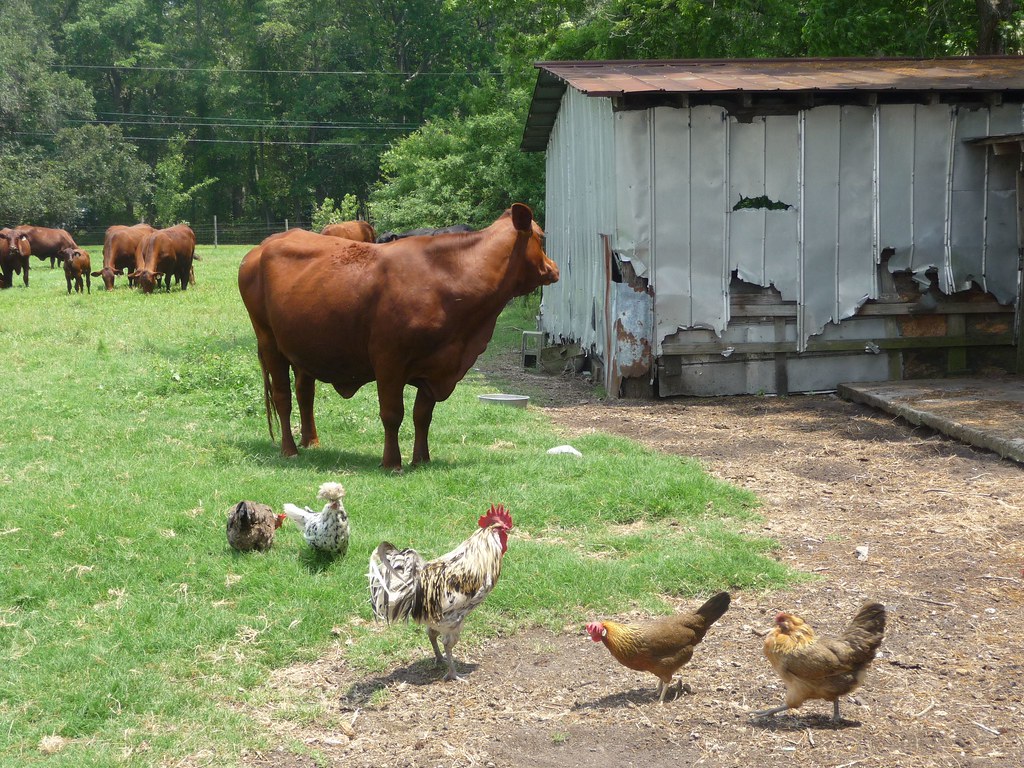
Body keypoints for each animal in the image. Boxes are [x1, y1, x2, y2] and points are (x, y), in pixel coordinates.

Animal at [238, 203, 559, 469]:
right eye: (542, 237)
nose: (554, 269)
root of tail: (265, 244)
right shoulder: (389, 360)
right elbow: (393, 413)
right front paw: (392, 462)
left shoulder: (435, 364)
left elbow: (422, 415)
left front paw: (422, 459)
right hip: (269, 341)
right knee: (282, 396)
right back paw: (290, 449)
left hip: (303, 346)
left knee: (305, 392)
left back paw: (311, 442)